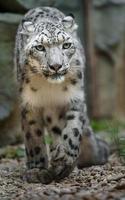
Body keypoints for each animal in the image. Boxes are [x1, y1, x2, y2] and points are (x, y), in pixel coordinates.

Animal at [14, 7, 109, 184]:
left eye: (66, 45)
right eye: (40, 47)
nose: (56, 66)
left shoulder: (75, 98)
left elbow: (73, 130)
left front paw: (64, 157)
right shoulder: (30, 105)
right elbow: (33, 138)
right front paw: (37, 170)